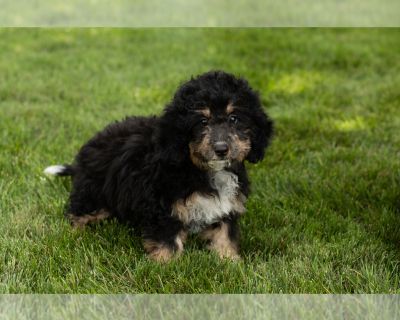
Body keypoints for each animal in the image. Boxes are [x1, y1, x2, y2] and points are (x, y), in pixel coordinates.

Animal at [45, 71, 274, 262]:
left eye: (234, 118)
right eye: (202, 121)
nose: (221, 149)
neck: (199, 168)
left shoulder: (225, 207)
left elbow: (225, 235)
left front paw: (230, 261)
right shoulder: (163, 206)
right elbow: (167, 241)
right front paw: (165, 266)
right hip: (94, 191)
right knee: (78, 212)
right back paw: (75, 233)